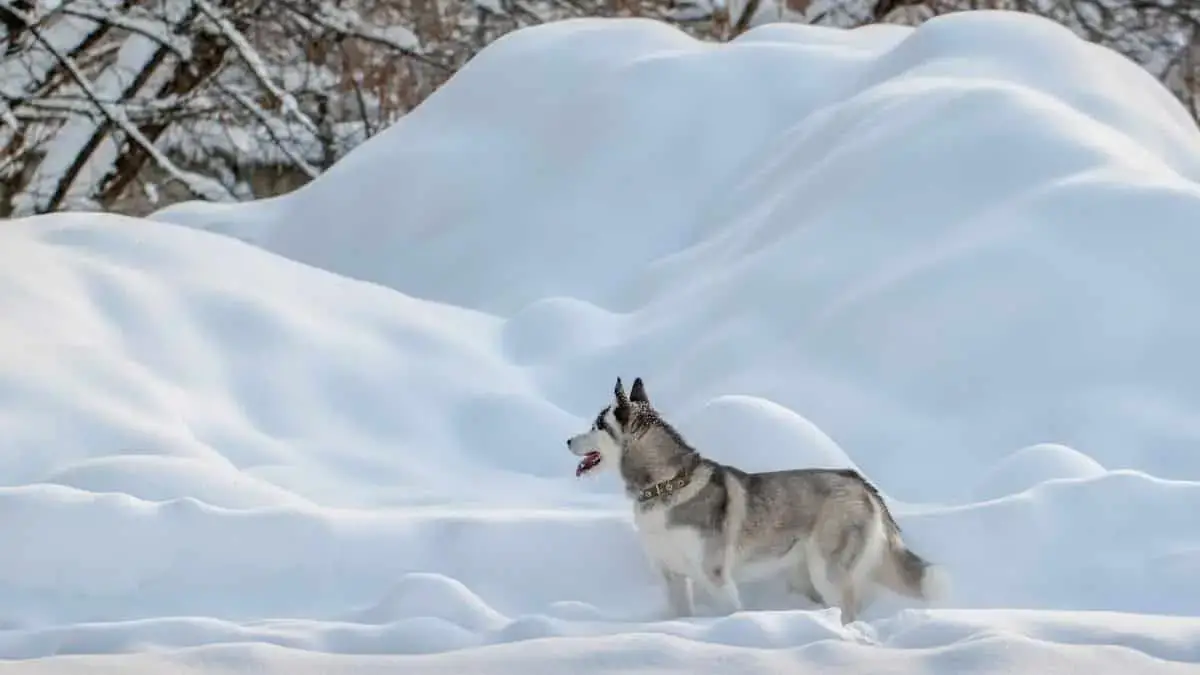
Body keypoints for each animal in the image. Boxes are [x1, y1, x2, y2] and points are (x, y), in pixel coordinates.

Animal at [561, 374, 945, 624]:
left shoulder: (716, 577)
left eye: (597, 425)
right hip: (805, 574)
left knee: (848, 609)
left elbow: (731, 611)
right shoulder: (673, 576)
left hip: (828, 572)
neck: (664, 486)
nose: (566, 441)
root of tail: (860, 482)